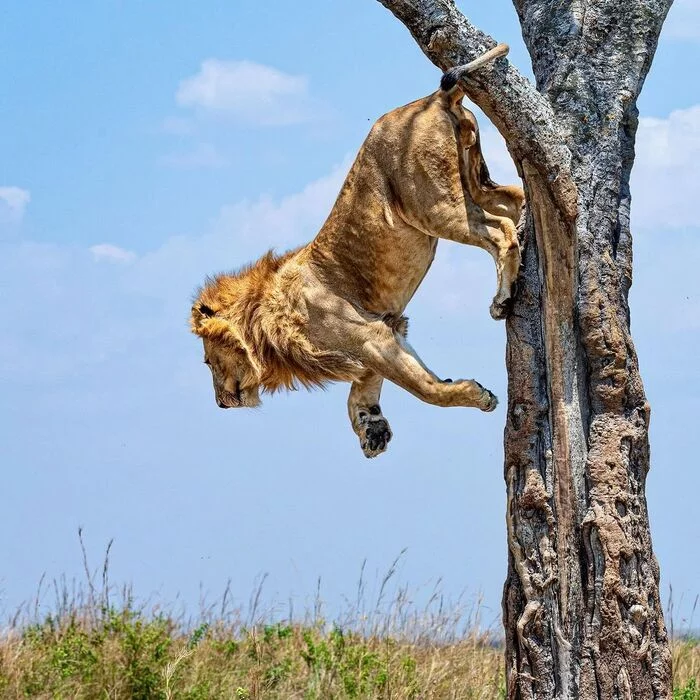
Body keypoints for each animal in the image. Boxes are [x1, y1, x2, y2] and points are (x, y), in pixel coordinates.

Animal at [191, 43, 524, 460]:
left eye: (208, 361)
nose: (220, 403)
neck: (266, 316)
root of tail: (433, 99)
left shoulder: (369, 337)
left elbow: (425, 390)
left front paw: (476, 395)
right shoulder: (384, 334)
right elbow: (362, 394)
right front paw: (371, 428)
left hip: (433, 206)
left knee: (500, 231)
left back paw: (502, 299)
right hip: (473, 179)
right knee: (515, 200)